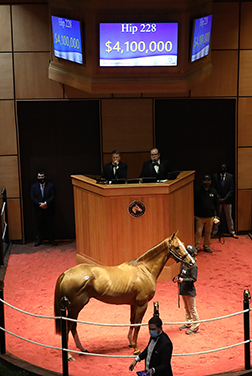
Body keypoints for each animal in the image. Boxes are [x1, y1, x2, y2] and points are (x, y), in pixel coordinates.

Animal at [54, 232, 194, 358]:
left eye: (183, 244)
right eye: (177, 247)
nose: (191, 262)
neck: (144, 270)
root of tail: (66, 273)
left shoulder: (134, 303)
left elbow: (132, 321)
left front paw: (130, 343)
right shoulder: (142, 304)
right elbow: (138, 324)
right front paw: (136, 348)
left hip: (75, 308)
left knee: (73, 327)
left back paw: (82, 349)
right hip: (75, 308)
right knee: (68, 327)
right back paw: (68, 355)